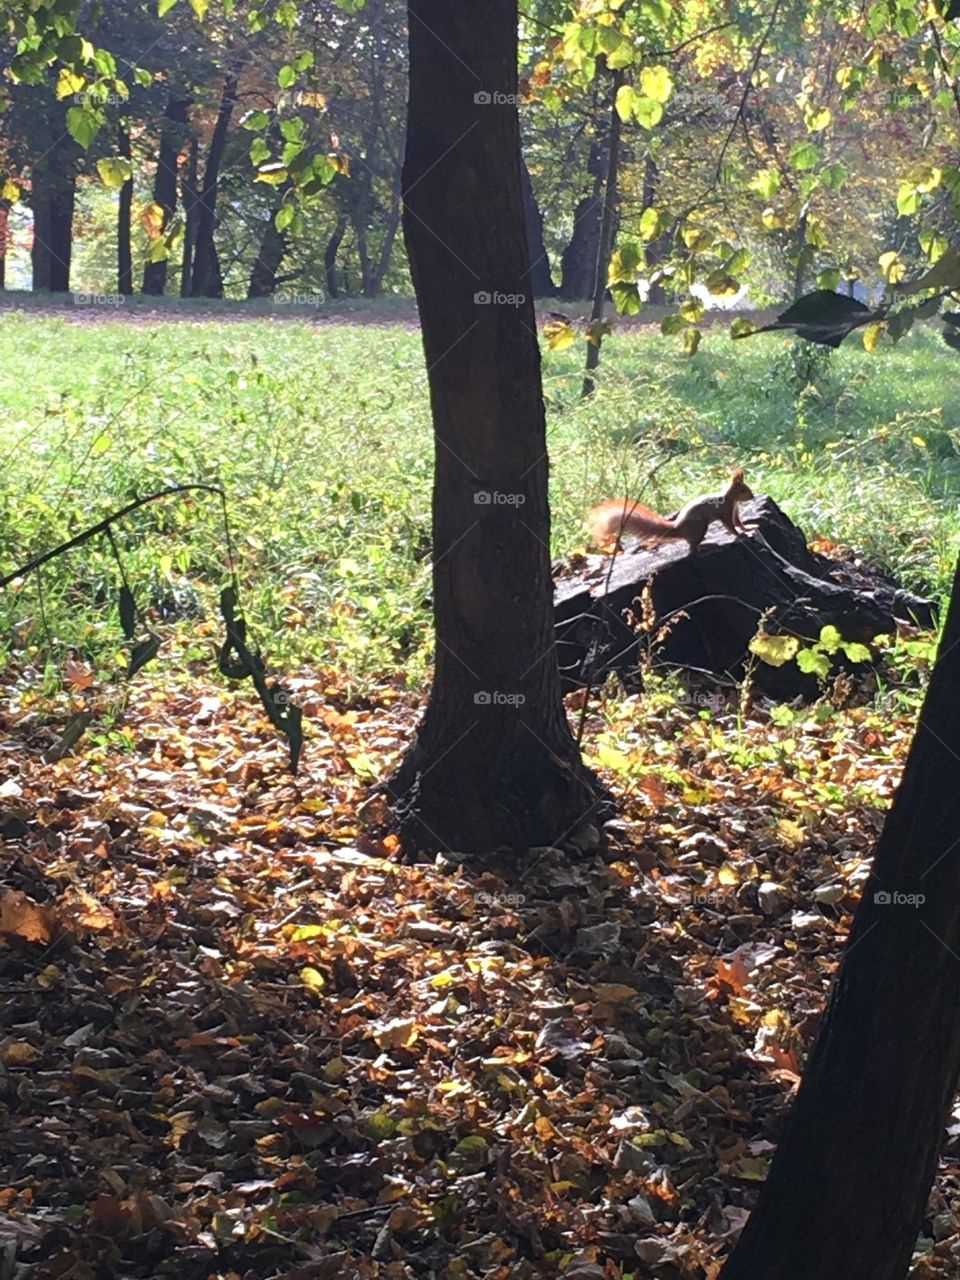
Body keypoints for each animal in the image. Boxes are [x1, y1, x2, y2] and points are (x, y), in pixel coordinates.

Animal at [586, 468, 757, 552]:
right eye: (743, 490)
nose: (753, 496)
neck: (730, 498)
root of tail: (678, 528)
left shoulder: (734, 511)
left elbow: (738, 522)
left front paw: (748, 528)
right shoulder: (725, 511)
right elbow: (730, 526)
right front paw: (739, 534)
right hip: (700, 526)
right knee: (691, 549)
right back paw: (704, 547)